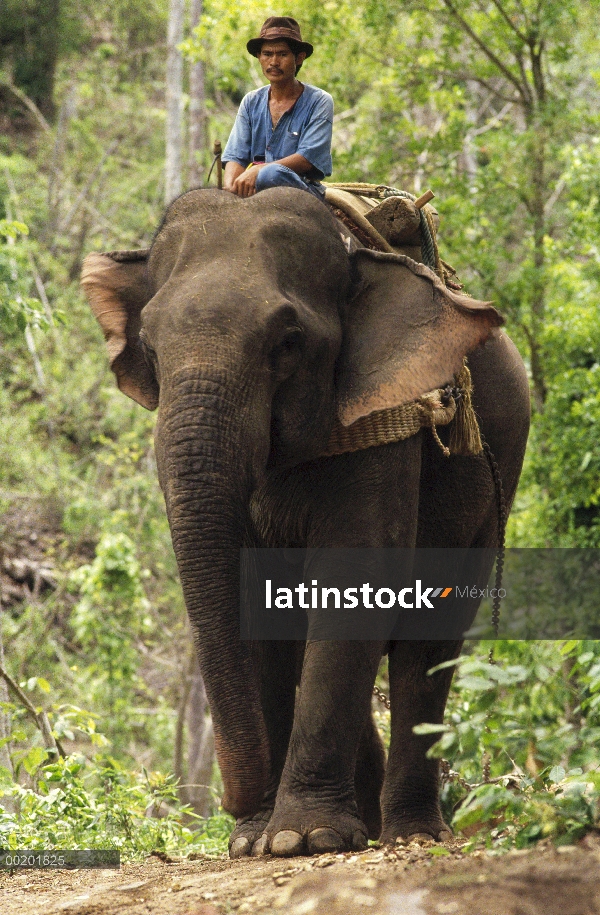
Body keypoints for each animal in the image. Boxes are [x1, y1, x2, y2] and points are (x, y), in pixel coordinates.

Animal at [79, 188, 528, 860]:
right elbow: (257, 601)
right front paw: (255, 842)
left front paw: (300, 839)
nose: (230, 806)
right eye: (151, 349)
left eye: (287, 343)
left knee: (428, 645)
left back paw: (409, 834)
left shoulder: (383, 422)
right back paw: (368, 827)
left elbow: (356, 580)